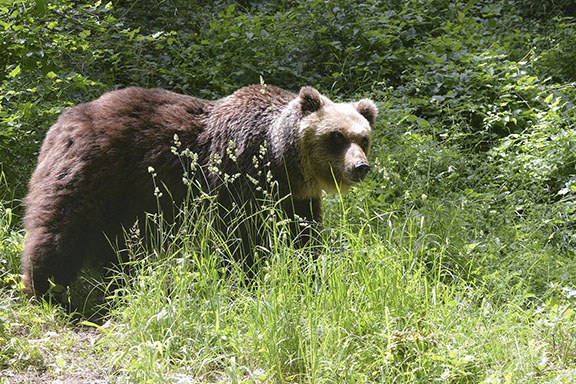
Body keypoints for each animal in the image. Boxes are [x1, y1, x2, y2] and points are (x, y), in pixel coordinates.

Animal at [20, 85, 378, 294]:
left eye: (363, 138)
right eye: (336, 137)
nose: (360, 167)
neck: (280, 159)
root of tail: (61, 122)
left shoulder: (294, 198)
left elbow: (301, 237)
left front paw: (309, 274)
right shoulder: (238, 176)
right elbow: (238, 238)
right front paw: (245, 279)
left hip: (123, 199)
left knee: (117, 244)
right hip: (92, 176)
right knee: (62, 229)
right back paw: (43, 287)